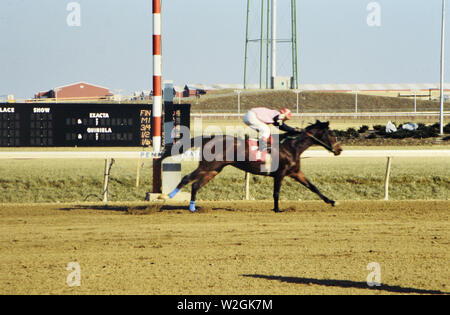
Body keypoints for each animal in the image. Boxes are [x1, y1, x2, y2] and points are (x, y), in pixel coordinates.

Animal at [163, 120, 342, 212]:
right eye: (331, 134)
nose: (339, 149)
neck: (292, 146)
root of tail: (209, 138)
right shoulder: (280, 173)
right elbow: (276, 193)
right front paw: (277, 209)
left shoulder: (296, 172)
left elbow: (313, 187)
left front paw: (332, 201)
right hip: (208, 166)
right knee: (187, 178)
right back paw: (169, 196)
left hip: (214, 169)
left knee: (196, 185)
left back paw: (192, 207)